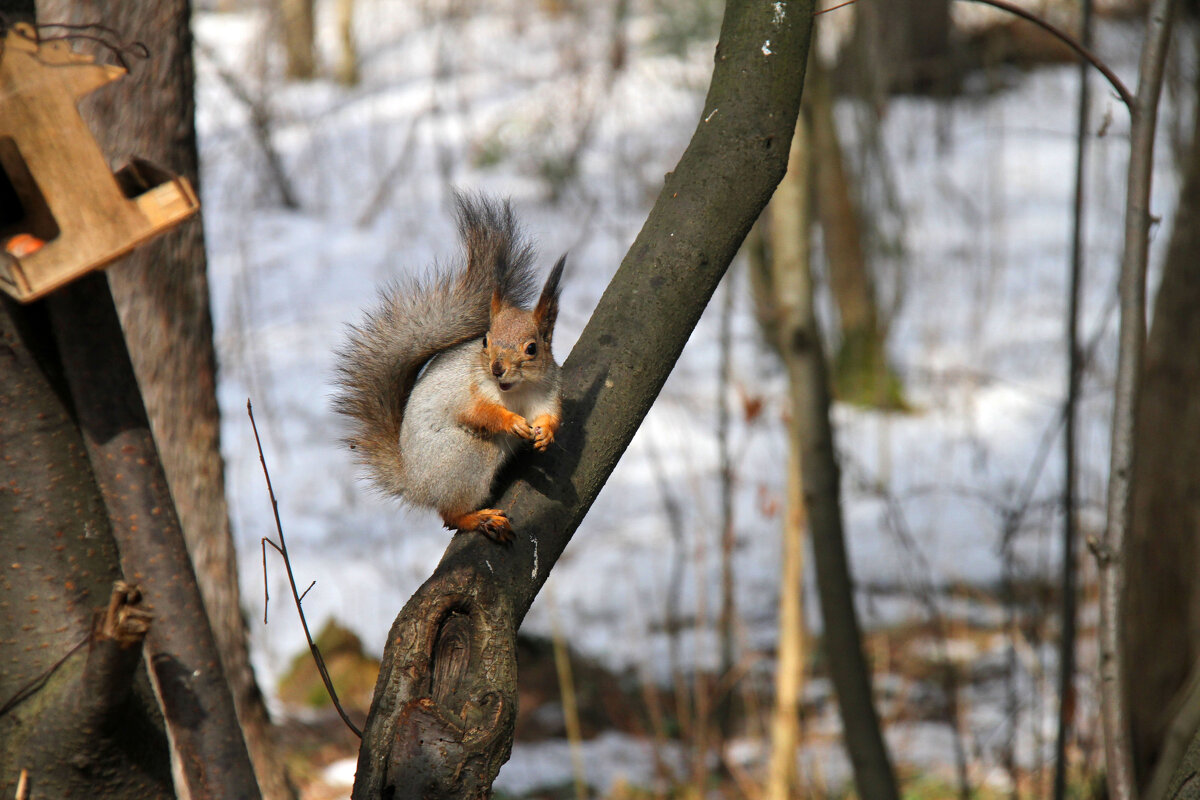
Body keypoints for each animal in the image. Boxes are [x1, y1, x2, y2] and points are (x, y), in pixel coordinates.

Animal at [333, 194, 566, 544]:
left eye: (532, 348)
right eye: (485, 340)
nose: (497, 368)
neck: (515, 390)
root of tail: (415, 484)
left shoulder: (549, 390)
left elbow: (551, 414)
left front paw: (546, 433)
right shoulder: (468, 392)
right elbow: (478, 412)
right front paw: (511, 422)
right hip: (468, 455)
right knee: (448, 515)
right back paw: (477, 517)